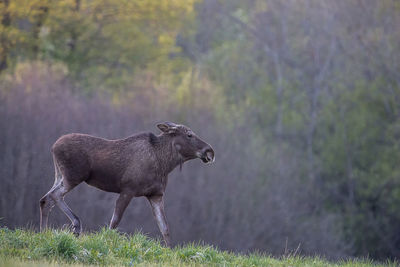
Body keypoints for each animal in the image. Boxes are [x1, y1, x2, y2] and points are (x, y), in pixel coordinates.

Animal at [39, 122, 216, 247]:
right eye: (189, 134)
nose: (210, 151)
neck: (165, 164)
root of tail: (53, 147)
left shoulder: (156, 195)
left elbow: (165, 228)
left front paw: (169, 252)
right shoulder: (128, 190)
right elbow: (114, 222)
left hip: (60, 176)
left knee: (45, 199)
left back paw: (44, 233)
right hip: (73, 176)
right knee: (54, 196)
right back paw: (75, 225)